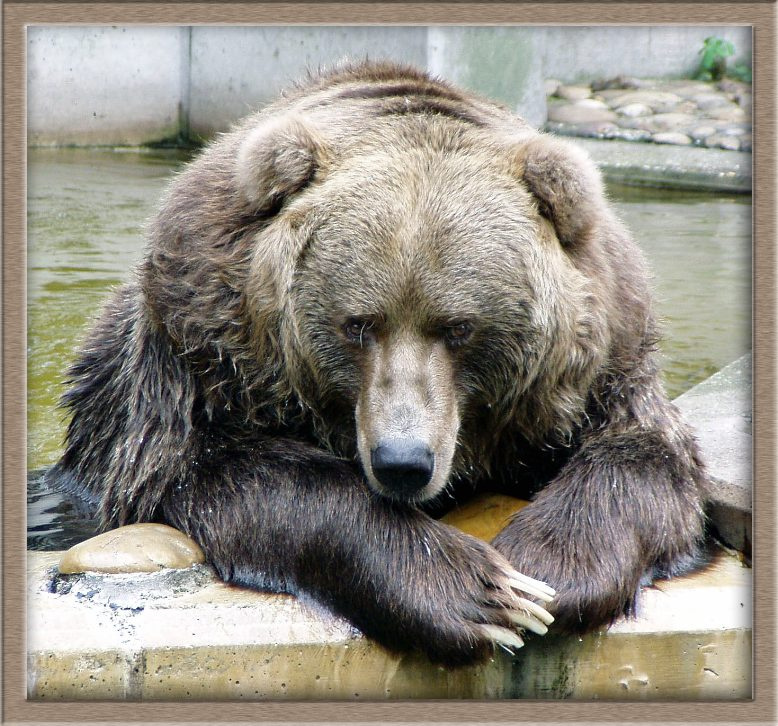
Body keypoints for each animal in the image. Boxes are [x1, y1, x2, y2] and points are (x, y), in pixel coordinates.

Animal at [47, 61, 709, 666]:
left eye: (459, 327)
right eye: (358, 324)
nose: (402, 462)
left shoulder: (601, 373)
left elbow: (645, 460)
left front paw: (546, 571)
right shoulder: (200, 364)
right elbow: (228, 472)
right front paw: (480, 593)